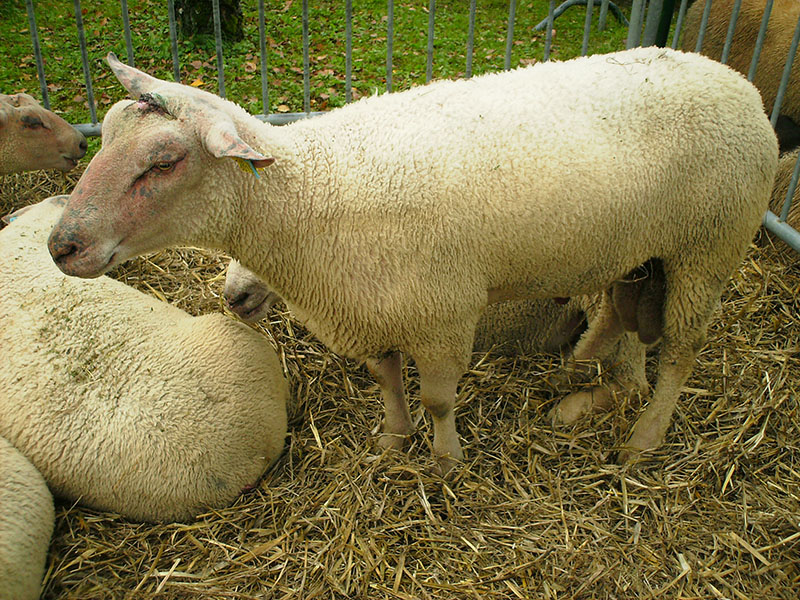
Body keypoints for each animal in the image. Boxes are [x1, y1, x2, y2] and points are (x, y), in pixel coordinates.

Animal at [48, 48, 776, 468]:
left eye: (163, 162)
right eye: (104, 135)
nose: (62, 246)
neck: (309, 192)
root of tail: (735, 80)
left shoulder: (445, 313)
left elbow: (440, 400)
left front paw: (447, 461)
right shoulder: (367, 307)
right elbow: (387, 380)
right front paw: (393, 442)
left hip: (710, 245)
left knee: (680, 353)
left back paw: (643, 440)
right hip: (642, 255)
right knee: (628, 345)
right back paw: (582, 403)